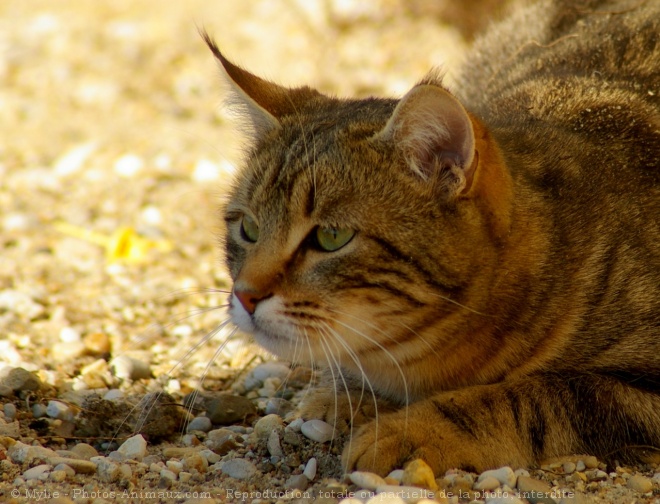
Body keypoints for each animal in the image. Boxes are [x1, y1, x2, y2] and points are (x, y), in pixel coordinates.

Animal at [204, 0, 656, 476]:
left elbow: (531, 397)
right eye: (248, 228)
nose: (246, 295)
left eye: (331, 236)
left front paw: (410, 429)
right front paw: (343, 395)